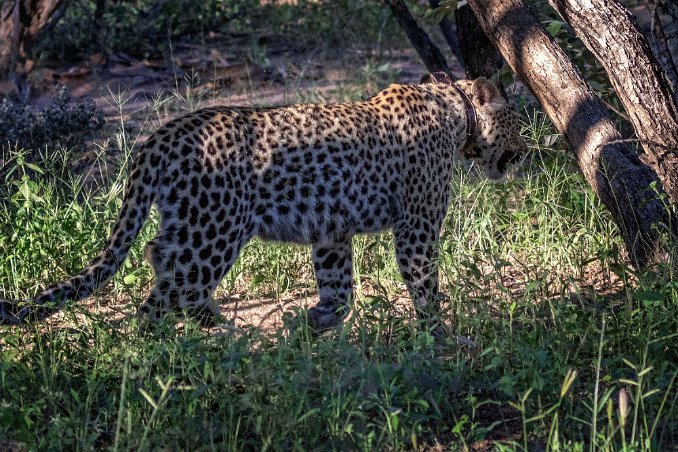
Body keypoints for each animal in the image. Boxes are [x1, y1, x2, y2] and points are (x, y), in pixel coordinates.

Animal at [0, 73, 528, 328]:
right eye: (517, 121)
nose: (524, 150)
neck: (457, 112)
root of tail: (160, 137)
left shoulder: (331, 231)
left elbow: (340, 289)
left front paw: (314, 325)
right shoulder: (416, 227)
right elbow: (424, 283)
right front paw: (439, 334)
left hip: (191, 223)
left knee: (160, 263)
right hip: (212, 232)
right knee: (166, 294)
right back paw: (186, 348)